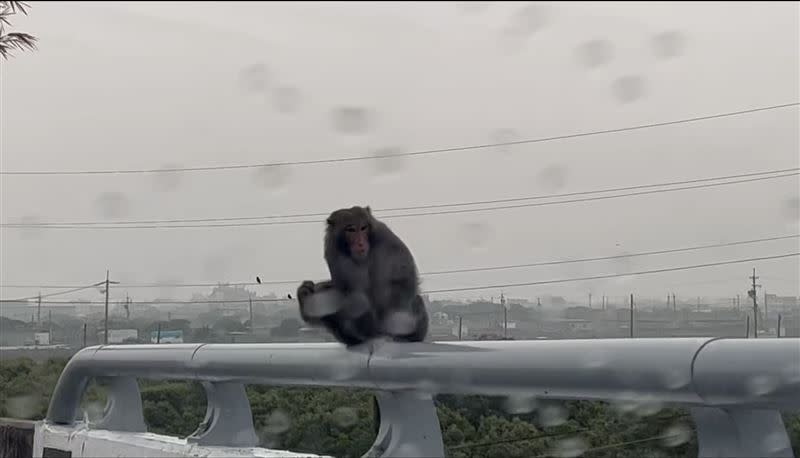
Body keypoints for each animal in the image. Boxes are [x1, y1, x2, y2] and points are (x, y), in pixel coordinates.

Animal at [296, 206, 432, 346]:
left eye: (363, 228)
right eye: (351, 230)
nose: (360, 242)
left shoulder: (385, 236)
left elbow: (402, 276)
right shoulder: (332, 247)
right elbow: (348, 291)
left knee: (414, 300)